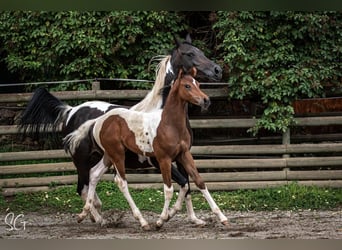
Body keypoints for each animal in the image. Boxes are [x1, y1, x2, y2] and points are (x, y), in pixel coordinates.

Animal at [64, 69, 228, 230]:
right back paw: (142, 221)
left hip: (108, 156)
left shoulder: (184, 155)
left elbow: (197, 182)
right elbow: (169, 188)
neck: (169, 124)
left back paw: (86, 214)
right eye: (187, 86)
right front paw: (161, 220)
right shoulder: (163, 159)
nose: (206, 100)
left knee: (94, 174)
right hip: (117, 155)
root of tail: (99, 121)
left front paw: (222, 218)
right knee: (120, 182)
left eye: (198, 84)